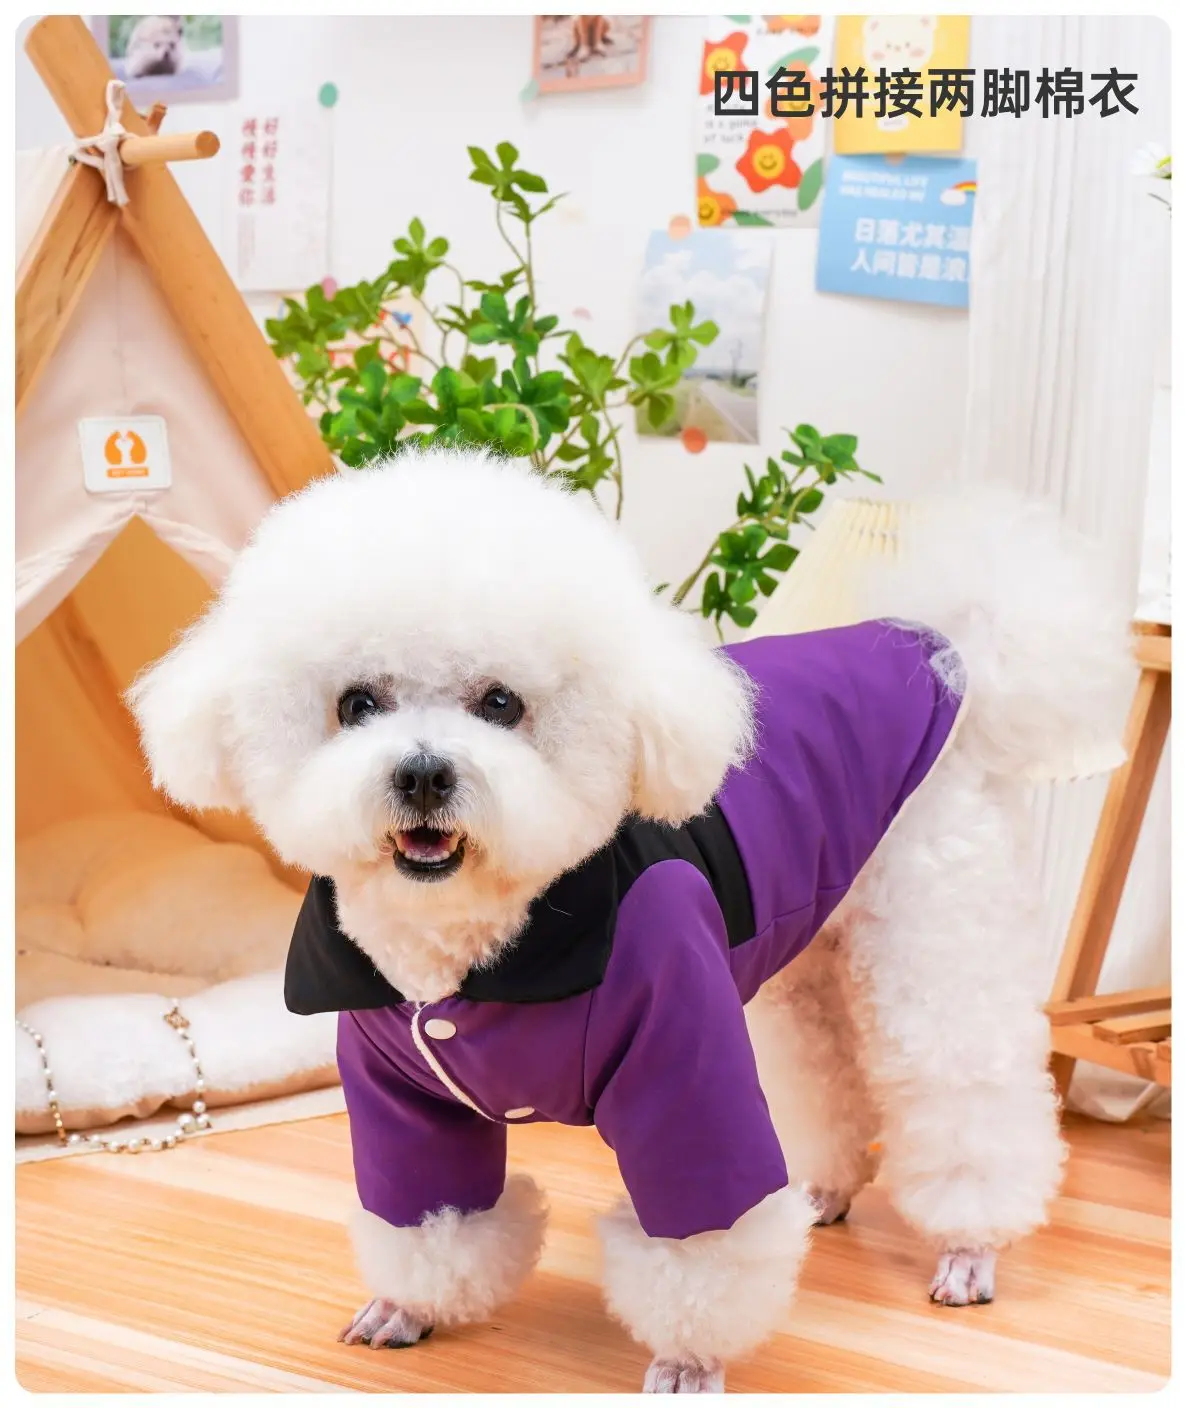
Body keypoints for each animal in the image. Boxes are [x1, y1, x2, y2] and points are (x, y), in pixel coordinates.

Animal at [128, 449, 1133, 1392]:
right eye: (355, 705)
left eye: (501, 703)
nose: (421, 773)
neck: (479, 945)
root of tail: (941, 649)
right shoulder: (399, 1096)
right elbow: (427, 1211)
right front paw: (411, 1303)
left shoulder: (679, 1060)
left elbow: (701, 1234)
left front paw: (688, 1359)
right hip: (800, 960)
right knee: (822, 1069)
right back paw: (821, 1186)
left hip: (935, 926)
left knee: (967, 1087)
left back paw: (969, 1247)